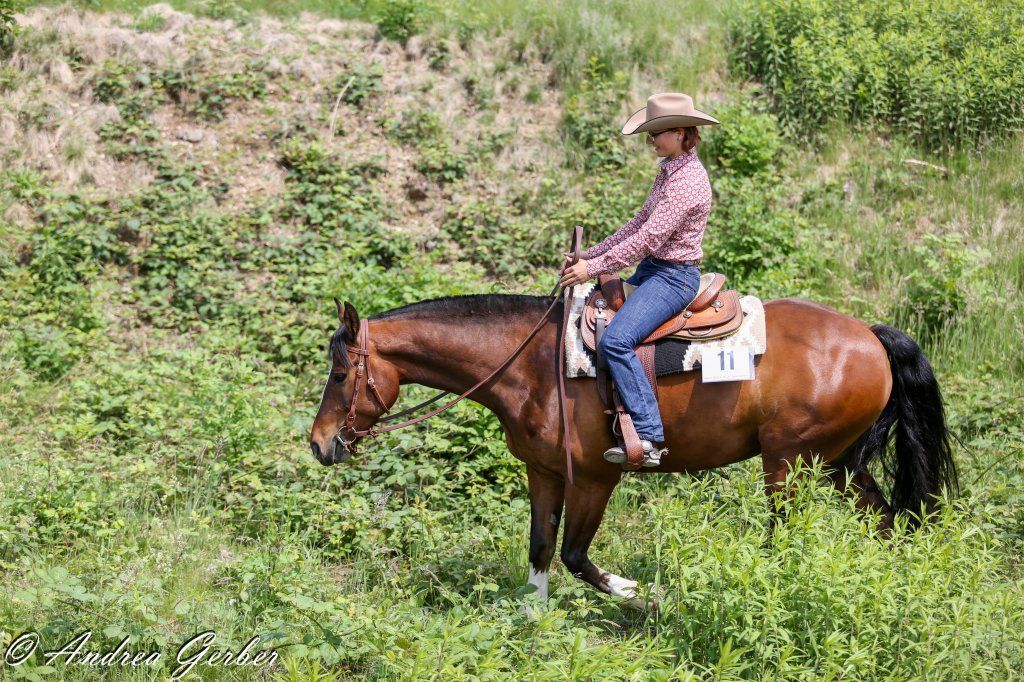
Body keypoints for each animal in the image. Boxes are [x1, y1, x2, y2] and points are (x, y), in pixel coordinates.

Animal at [309, 293, 958, 604]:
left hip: (790, 464)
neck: (534, 366)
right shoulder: (544, 472)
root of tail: (870, 335)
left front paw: (638, 595)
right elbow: (541, 549)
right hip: (838, 465)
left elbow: (575, 555)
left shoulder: (597, 477)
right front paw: (529, 619)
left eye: (340, 373)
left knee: (787, 534)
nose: (319, 445)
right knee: (887, 521)